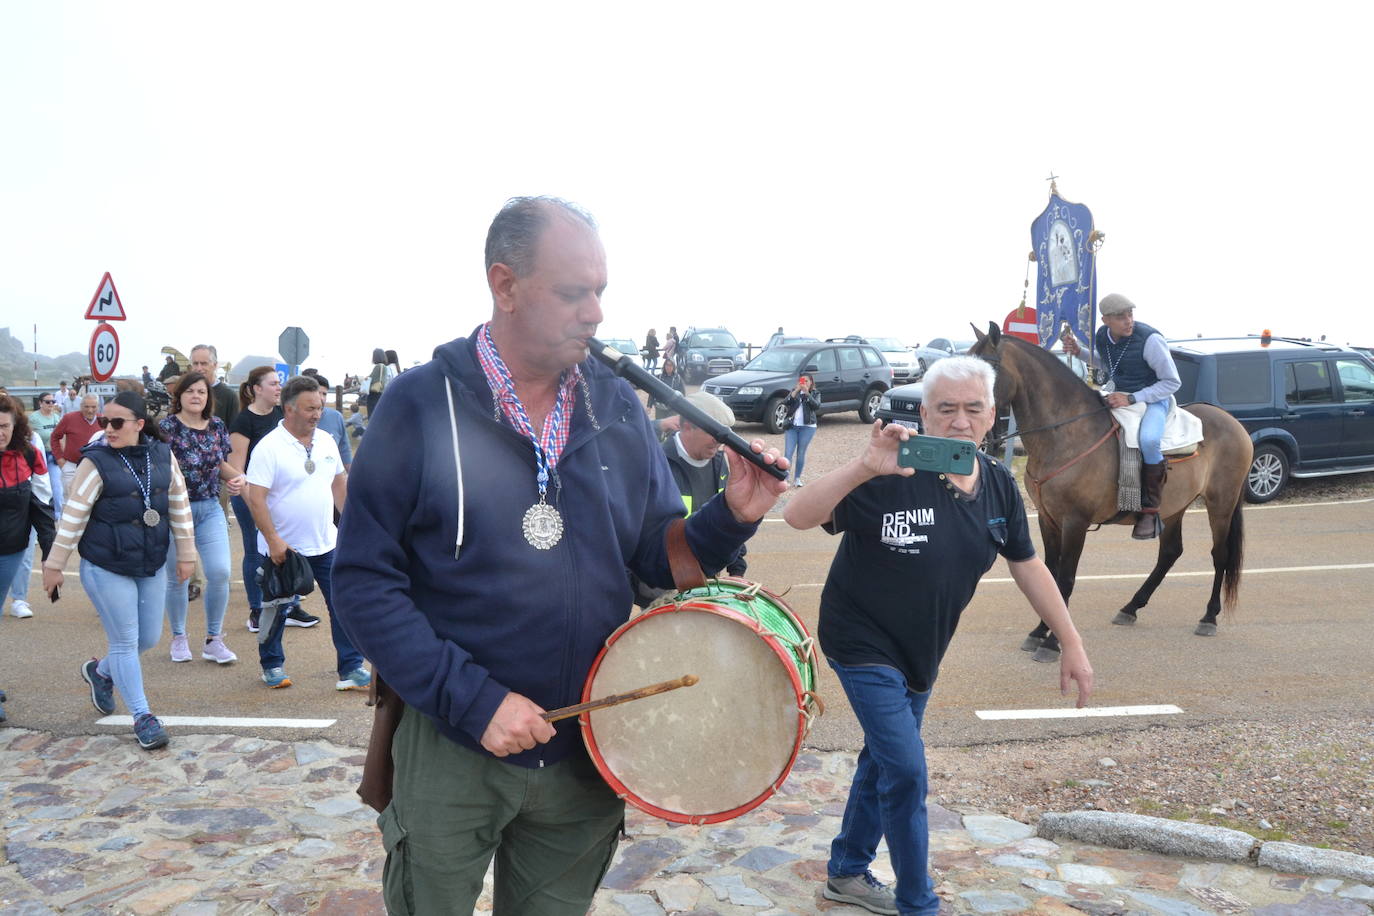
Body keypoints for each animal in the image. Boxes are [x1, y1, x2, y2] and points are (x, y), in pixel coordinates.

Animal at [967, 322, 1258, 659]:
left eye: (985, 369)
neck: (1066, 434)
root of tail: (1232, 422)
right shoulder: (1047, 518)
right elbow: (1049, 576)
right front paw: (1039, 631)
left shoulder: (1075, 522)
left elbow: (1065, 579)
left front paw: (1052, 644)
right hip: (1174, 508)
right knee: (1170, 552)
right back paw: (1131, 607)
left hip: (1221, 503)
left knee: (1220, 555)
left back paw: (1209, 616)